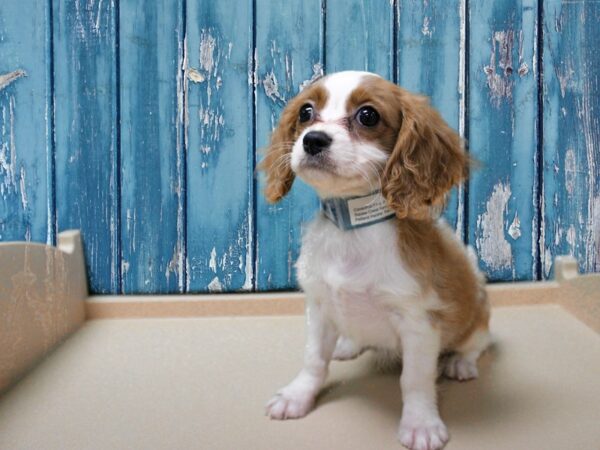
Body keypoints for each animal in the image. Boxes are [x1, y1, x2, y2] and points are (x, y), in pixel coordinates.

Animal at [260, 71, 490, 450]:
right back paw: (347, 344)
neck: (352, 229)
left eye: (368, 116)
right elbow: (313, 360)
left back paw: (460, 363)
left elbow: (414, 380)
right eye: (306, 112)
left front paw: (421, 423)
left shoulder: (419, 322)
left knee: (479, 343)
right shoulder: (319, 306)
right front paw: (297, 396)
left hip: (478, 313)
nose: (313, 140)